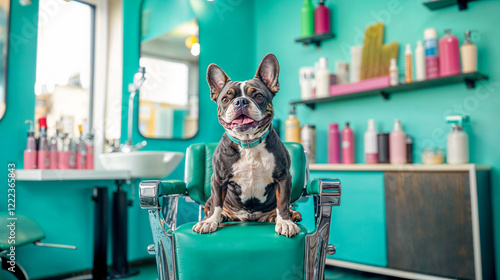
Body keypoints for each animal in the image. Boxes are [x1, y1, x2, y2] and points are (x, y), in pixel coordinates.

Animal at [191, 53, 300, 237]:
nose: (240, 101)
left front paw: (285, 222)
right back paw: (221, 217)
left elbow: (283, 202)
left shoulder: (283, 177)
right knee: (213, 205)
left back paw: (288, 216)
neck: (248, 144)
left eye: (259, 96)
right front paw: (210, 221)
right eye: (226, 99)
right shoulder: (218, 179)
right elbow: (216, 204)